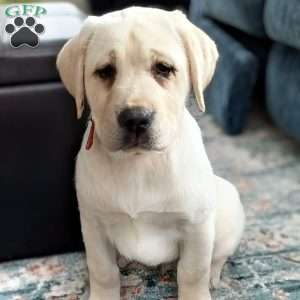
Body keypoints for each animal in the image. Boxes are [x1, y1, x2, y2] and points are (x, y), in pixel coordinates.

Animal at [56, 7, 244, 300]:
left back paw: (214, 277)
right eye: (105, 71)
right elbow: (102, 271)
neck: (140, 164)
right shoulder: (94, 225)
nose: (135, 118)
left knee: (217, 257)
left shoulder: (197, 226)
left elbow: (193, 271)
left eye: (163, 69)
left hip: (228, 207)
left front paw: (196, 290)